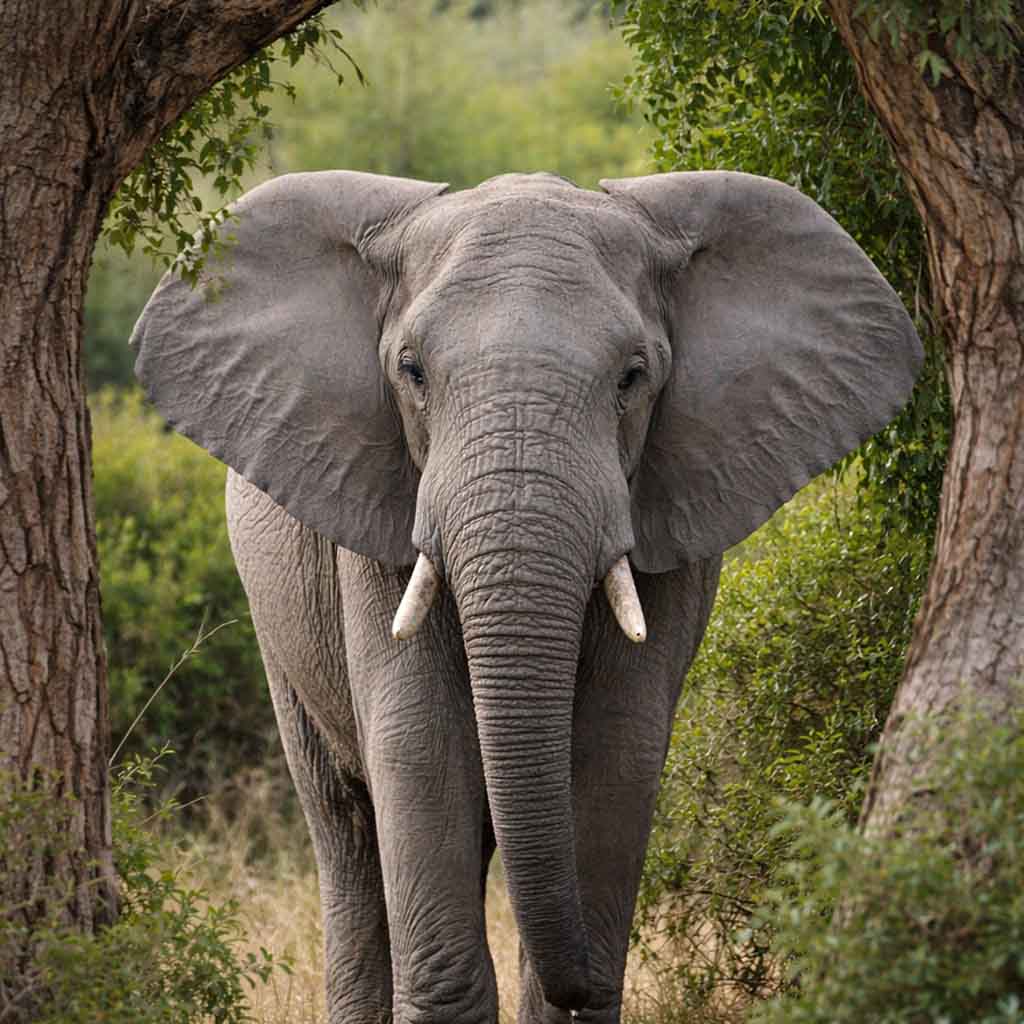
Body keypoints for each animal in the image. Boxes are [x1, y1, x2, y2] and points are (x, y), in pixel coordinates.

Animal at [130, 169, 921, 1023]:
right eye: (411, 371)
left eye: (632, 377)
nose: (581, 979)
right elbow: (418, 746)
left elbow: (618, 751)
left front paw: (575, 988)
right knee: (344, 826)